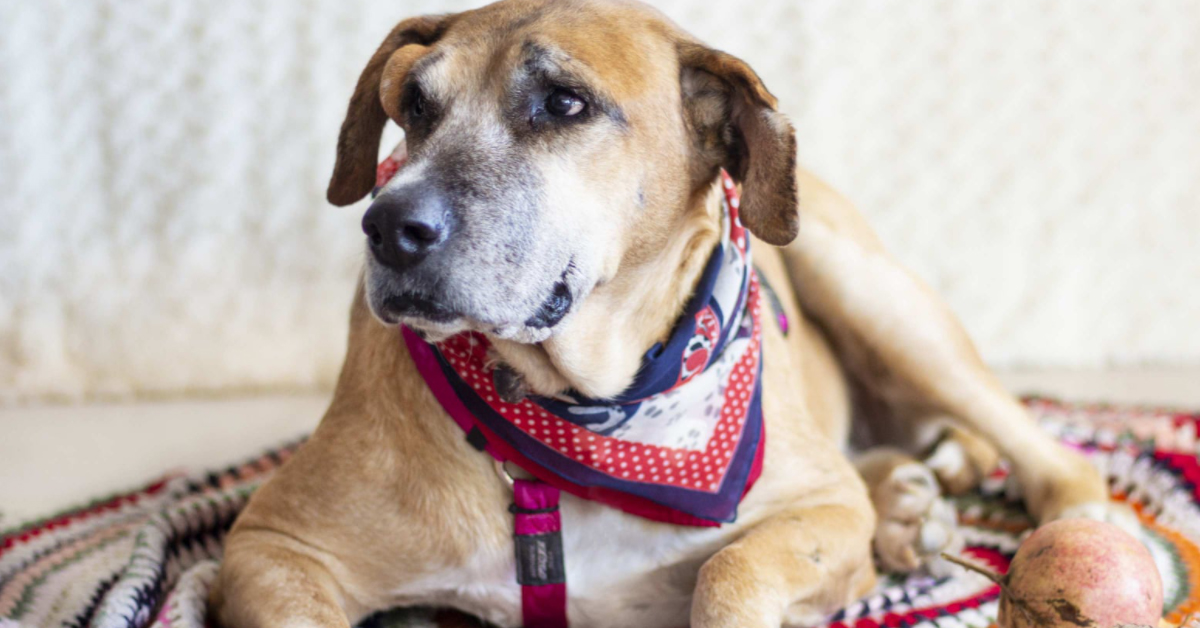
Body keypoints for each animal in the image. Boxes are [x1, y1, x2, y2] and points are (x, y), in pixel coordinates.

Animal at [208, 2, 1113, 624]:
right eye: (416, 106)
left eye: (564, 104)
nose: (390, 226)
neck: (582, 406)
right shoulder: (270, 547)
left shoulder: (819, 507)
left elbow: (729, 569)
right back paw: (906, 508)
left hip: (868, 288)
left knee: (1040, 448)